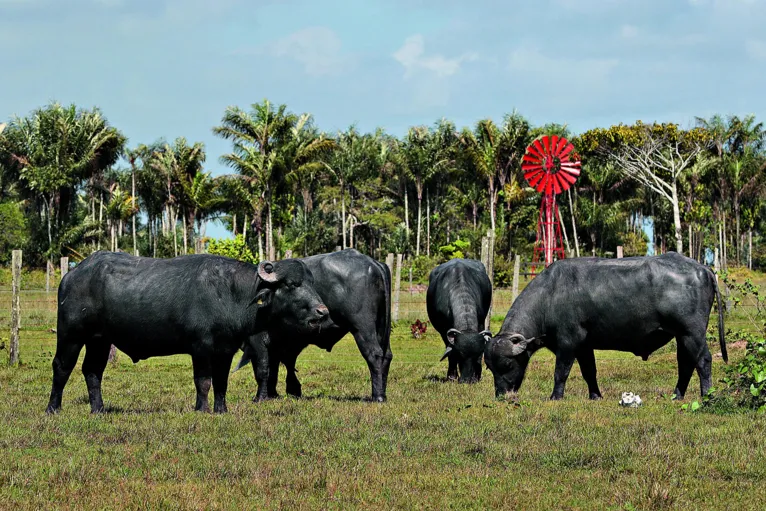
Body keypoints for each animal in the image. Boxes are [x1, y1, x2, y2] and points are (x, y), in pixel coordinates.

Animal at [45, 252, 328, 416]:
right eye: (291, 285)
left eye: (312, 283)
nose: (323, 311)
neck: (231, 293)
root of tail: (72, 274)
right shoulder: (200, 347)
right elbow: (203, 381)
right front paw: (201, 409)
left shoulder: (225, 349)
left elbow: (221, 382)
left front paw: (221, 410)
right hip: (71, 334)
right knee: (62, 366)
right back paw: (53, 408)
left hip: (100, 340)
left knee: (93, 371)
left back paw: (99, 409)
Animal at [236, 251, 396, 404]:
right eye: (291, 284)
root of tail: (373, 264)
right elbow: (275, 366)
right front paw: (274, 393)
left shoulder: (257, 341)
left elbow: (263, 367)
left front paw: (264, 396)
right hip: (382, 327)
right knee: (386, 355)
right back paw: (383, 393)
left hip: (363, 328)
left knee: (374, 354)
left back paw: (377, 397)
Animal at [486, 254, 728, 402]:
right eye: (490, 367)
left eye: (507, 364)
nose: (501, 395)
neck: (549, 296)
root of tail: (703, 269)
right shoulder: (584, 346)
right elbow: (589, 371)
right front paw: (595, 396)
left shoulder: (568, 343)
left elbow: (561, 371)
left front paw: (555, 396)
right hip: (681, 336)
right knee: (686, 363)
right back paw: (677, 395)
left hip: (692, 333)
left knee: (703, 360)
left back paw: (707, 395)